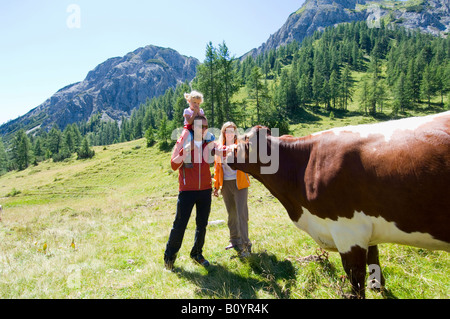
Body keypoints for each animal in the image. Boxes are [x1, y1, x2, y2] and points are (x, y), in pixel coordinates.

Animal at [229, 111, 450, 298]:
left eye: (243, 140)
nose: (225, 152)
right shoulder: (367, 227)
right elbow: (374, 259)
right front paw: (378, 286)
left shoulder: (349, 231)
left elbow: (356, 278)